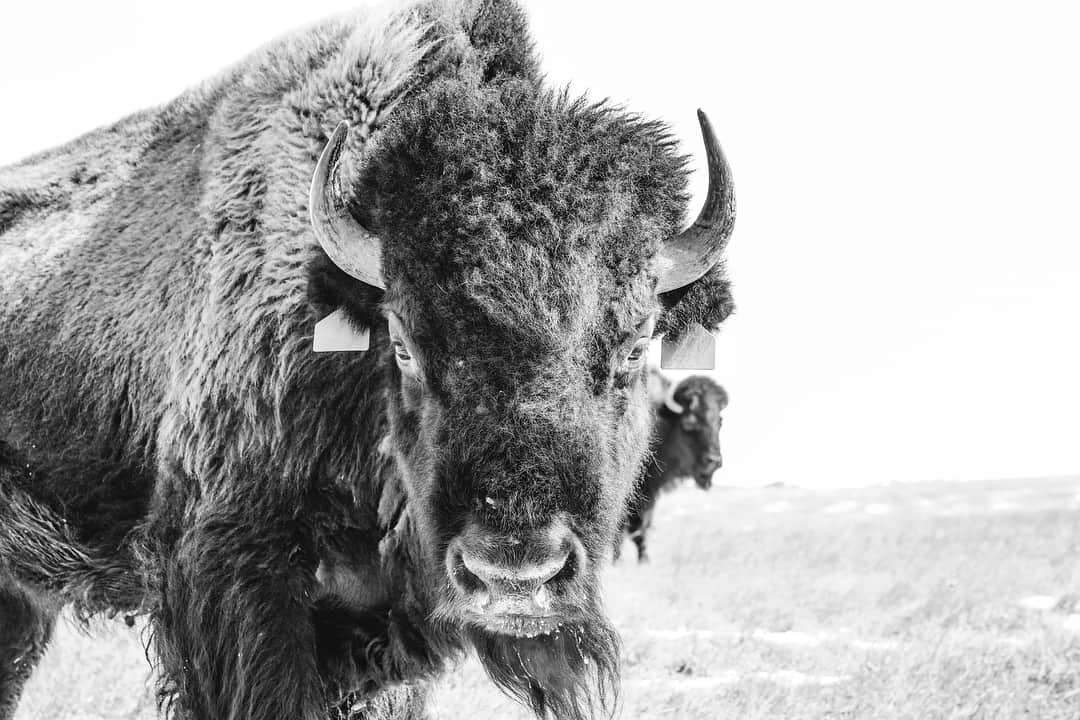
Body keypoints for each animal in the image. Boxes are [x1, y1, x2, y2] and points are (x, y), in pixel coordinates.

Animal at [617, 372, 729, 563]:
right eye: (689, 422)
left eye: (719, 421)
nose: (713, 461)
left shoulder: (648, 497)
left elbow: (642, 528)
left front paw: (644, 561)